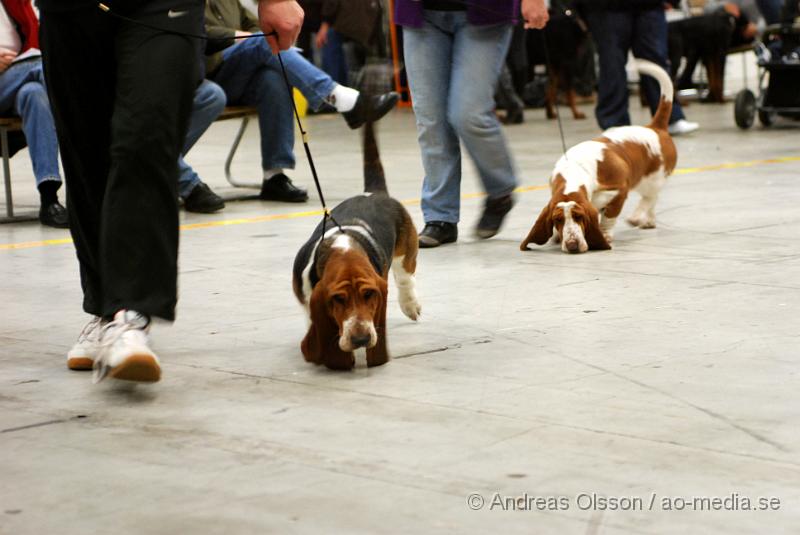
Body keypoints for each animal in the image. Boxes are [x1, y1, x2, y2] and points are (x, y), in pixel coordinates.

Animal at [292, 123, 418, 370]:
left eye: (369, 294)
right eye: (338, 299)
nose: (361, 339)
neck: (342, 246)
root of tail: (374, 193)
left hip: (406, 250)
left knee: (405, 277)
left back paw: (410, 305)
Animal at [520, 59, 680, 254]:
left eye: (579, 217)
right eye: (558, 220)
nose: (572, 245)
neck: (575, 172)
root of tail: (655, 128)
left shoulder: (620, 192)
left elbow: (608, 218)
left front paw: (605, 235)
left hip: (652, 179)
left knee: (650, 197)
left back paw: (637, 217)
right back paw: (648, 221)